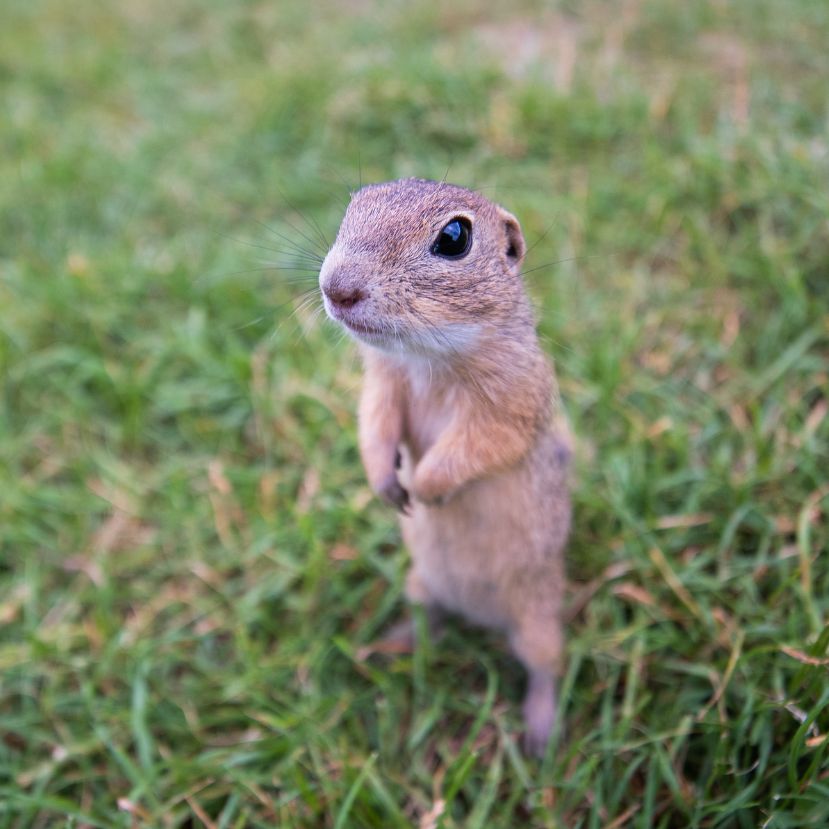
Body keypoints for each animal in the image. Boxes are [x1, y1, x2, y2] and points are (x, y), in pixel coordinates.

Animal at [316, 178, 568, 752]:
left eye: (454, 237)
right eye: (354, 202)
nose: (336, 288)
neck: (426, 358)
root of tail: (480, 616)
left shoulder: (510, 402)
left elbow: (483, 443)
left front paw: (428, 487)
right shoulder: (382, 385)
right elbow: (374, 425)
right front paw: (385, 484)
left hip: (539, 619)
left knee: (546, 666)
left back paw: (541, 730)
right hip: (421, 582)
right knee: (429, 617)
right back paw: (390, 645)